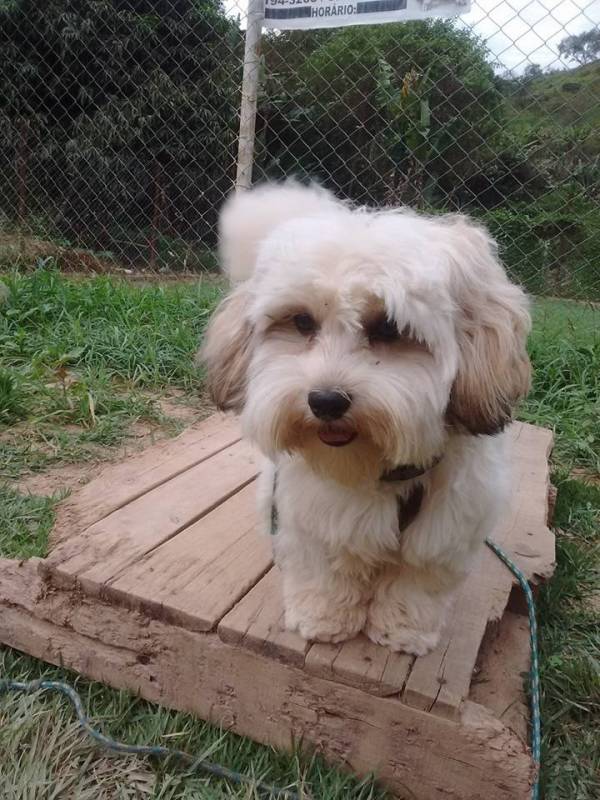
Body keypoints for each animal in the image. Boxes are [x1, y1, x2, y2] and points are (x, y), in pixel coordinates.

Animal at [202, 183, 528, 656]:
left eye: (389, 328)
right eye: (302, 322)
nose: (325, 401)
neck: (379, 470)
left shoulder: (445, 531)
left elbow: (416, 585)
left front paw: (404, 630)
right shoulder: (314, 517)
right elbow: (324, 573)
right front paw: (323, 619)